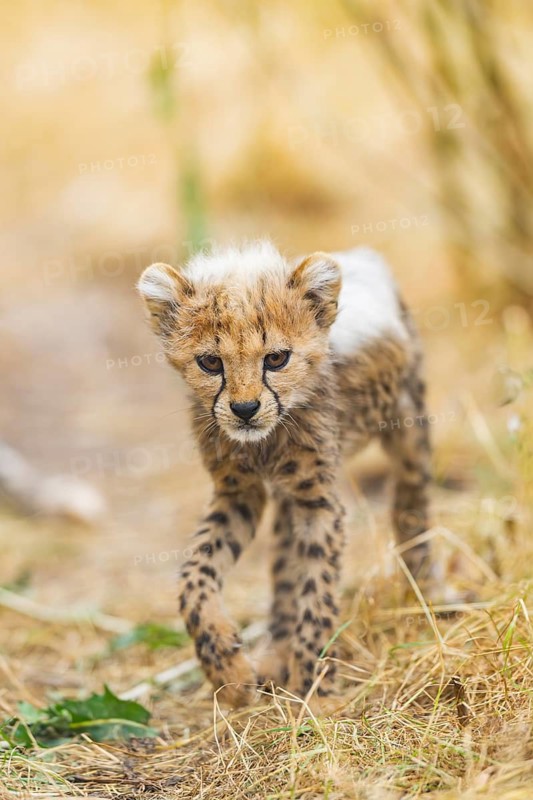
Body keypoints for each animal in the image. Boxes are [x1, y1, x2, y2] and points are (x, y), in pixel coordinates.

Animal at [137, 240, 433, 712]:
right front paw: (228, 674)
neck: (265, 442)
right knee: (282, 564)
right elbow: (195, 577)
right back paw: (275, 651)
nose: (244, 409)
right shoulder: (238, 493)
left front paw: (315, 690)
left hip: (408, 424)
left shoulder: (318, 504)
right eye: (210, 362)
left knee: (412, 502)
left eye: (276, 359)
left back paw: (424, 590)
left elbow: (318, 591)